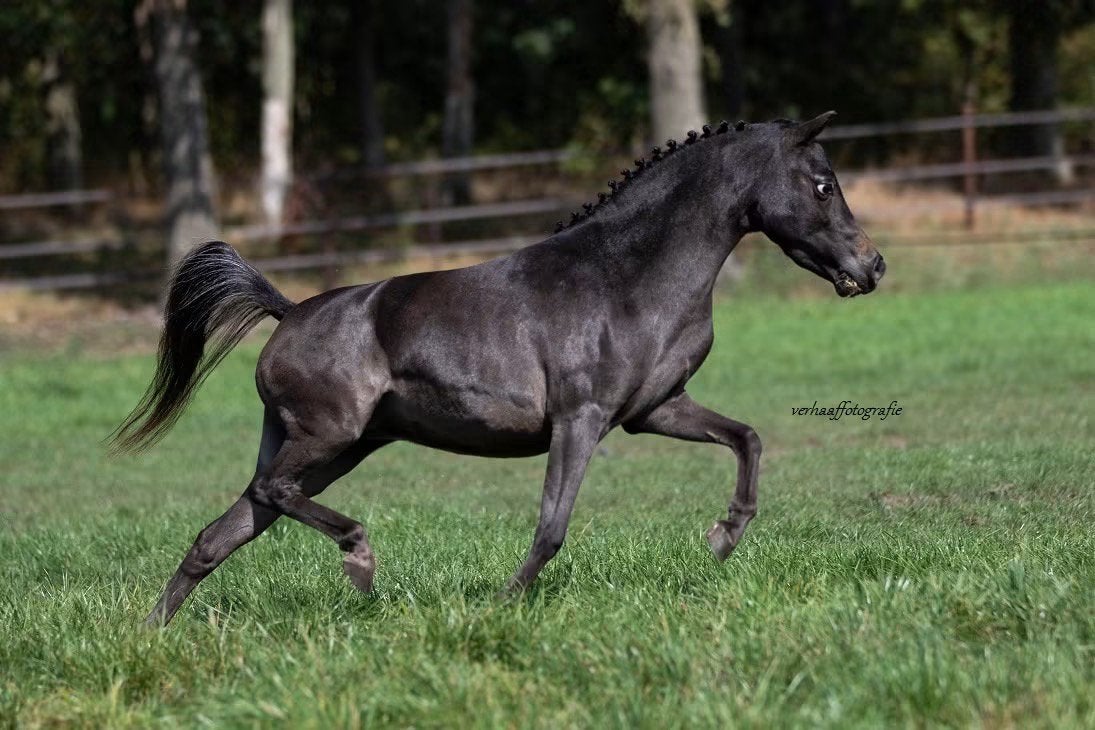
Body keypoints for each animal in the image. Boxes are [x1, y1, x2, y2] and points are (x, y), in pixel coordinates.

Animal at [114, 112, 886, 626]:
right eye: (822, 185)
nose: (871, 266)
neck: (626, 276)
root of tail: (288, 309)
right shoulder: (580, 420)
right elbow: (551, 527)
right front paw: (502, 603)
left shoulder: (654, 410)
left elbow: (747, 438)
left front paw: (724, 537)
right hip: (329, 438)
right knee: (269, 495)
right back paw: (360, 562)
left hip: (330, 448)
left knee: (224, 530)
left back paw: (152, 631)